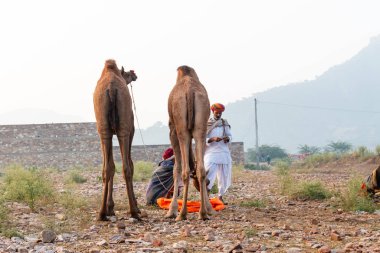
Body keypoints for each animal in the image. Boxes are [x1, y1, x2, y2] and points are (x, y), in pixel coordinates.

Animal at [93, 59, 140, 221]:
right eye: (127, 74)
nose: (134, 74)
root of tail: (111, 89)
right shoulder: (131, 130)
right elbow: (130, 164)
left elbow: (110, 166)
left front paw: (110, 209)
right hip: (123, 129)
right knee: (126, 167)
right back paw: (134, 211)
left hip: (103, 129)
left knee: (107, 168)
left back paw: (101, 213)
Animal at [166, 65, 215, 221]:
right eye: (208, 183)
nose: (208, 190)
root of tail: (189, 92)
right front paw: (210, 208)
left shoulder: (172, 131)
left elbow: (176, 168)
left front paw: (171, 210)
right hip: (201, 127)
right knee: (201, 169)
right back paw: (203, 213)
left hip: (182, 129)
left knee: (185, 170)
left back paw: (182, 214)